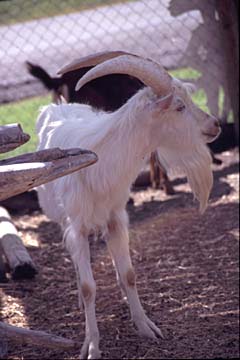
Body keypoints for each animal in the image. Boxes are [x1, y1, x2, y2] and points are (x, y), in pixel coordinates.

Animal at [36, 52, 221, 358]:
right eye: (179, 106)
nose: (215, 125)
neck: (101, 161)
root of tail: (57, 106)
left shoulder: (116, 218)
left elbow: (130, 274)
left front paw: (146, 327)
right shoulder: (77, 226)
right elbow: (88, 287)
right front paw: (92, 345)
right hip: (63, 219)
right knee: (75, 261)